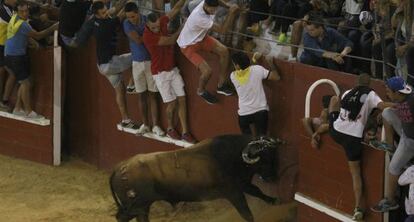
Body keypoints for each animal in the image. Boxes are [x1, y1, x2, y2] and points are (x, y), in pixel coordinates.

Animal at [108, 134, 280, 221]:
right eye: (263, 159)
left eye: (274, 156)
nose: (273, 177)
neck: (234, 156)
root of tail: (119, 167)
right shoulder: (234, 193)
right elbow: (247, 214)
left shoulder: (243, 184)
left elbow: (257, 191)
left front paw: (274, 200)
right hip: (140, 207)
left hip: (136, 208)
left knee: (121, 217)